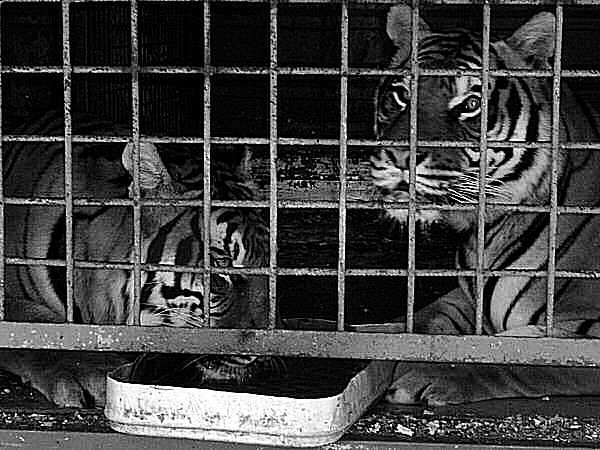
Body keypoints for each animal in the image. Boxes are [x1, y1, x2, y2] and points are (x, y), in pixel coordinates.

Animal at [372, 5, 600, 406]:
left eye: (471, 105)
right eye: (401, 96)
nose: (399, 156)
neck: (483, 231)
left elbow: (515, 352)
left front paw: (425, 372)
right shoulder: (465, 298)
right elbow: (426, 318)